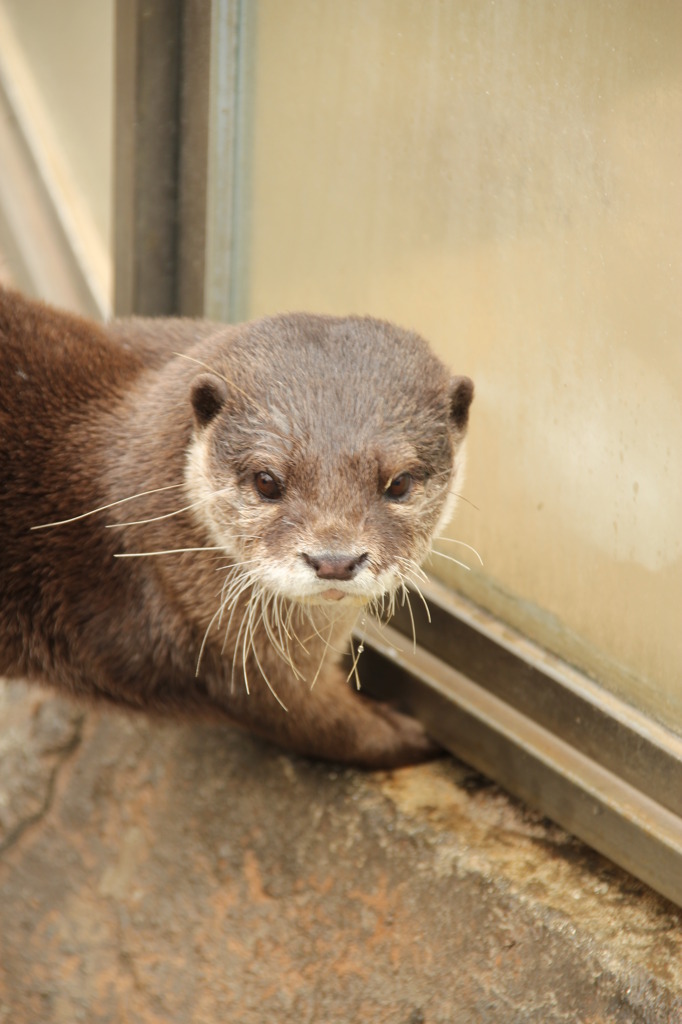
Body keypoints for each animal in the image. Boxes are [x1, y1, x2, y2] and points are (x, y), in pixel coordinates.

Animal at [0, 288, 473, 770]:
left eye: (399, 482)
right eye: (266, 480)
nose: (334, 560)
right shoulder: (225, 664)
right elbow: (322, 726)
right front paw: (408, 735)